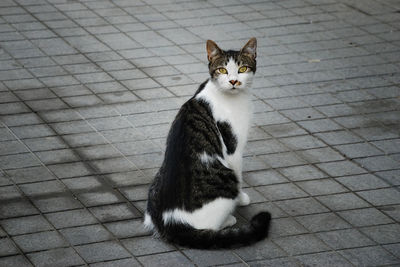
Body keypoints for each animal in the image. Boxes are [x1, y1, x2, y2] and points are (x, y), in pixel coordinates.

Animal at [144, 37, 272, 249]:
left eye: (243, 69)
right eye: (222, 70)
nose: (234, 81)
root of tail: (171, 223)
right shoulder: (234, 149)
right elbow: (240, 173)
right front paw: (241, 199)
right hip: (227, 181)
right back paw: (229, 220)